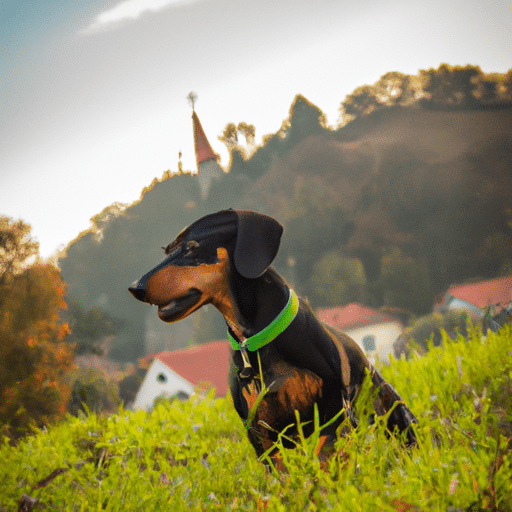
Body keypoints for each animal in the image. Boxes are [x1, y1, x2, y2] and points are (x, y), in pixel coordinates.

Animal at [128, 208, 416, 468]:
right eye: (167, 250)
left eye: (191, 248)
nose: (135, 288)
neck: (253, 339)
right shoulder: (260, 431)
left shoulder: (334, 411)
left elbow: (327, 456)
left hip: (395, 414)